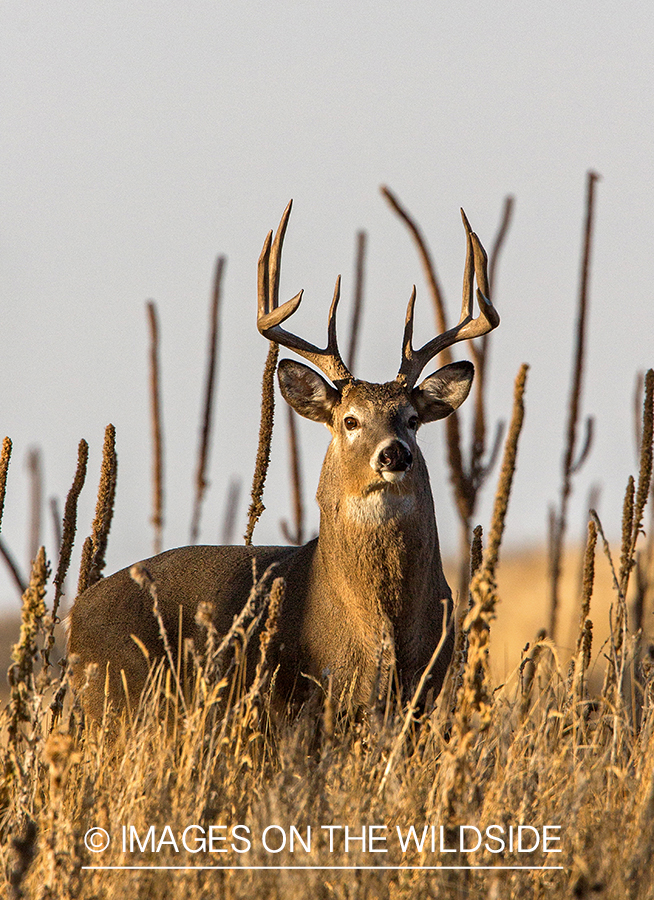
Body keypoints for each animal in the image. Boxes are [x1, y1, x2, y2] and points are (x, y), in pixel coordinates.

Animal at [68, 199, 502, 724]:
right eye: (350, 421)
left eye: (413, 419)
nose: (394, 452)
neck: (381, 625)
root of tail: (72, 618)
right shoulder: (311, 700)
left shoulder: (421, 696)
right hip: (119, 700)